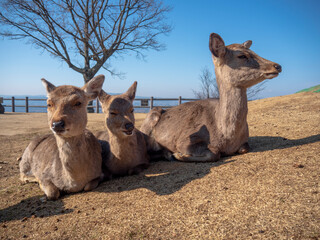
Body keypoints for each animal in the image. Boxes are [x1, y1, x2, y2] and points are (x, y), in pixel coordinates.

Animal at [141, 32, 282, 163]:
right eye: (242, 55)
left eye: (254, 51)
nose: (277, 66)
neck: (226, 136)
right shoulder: (184, 140)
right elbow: (214, 152)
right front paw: (178, 155)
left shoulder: (244, 141)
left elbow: (244, 148)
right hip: (149, 119)